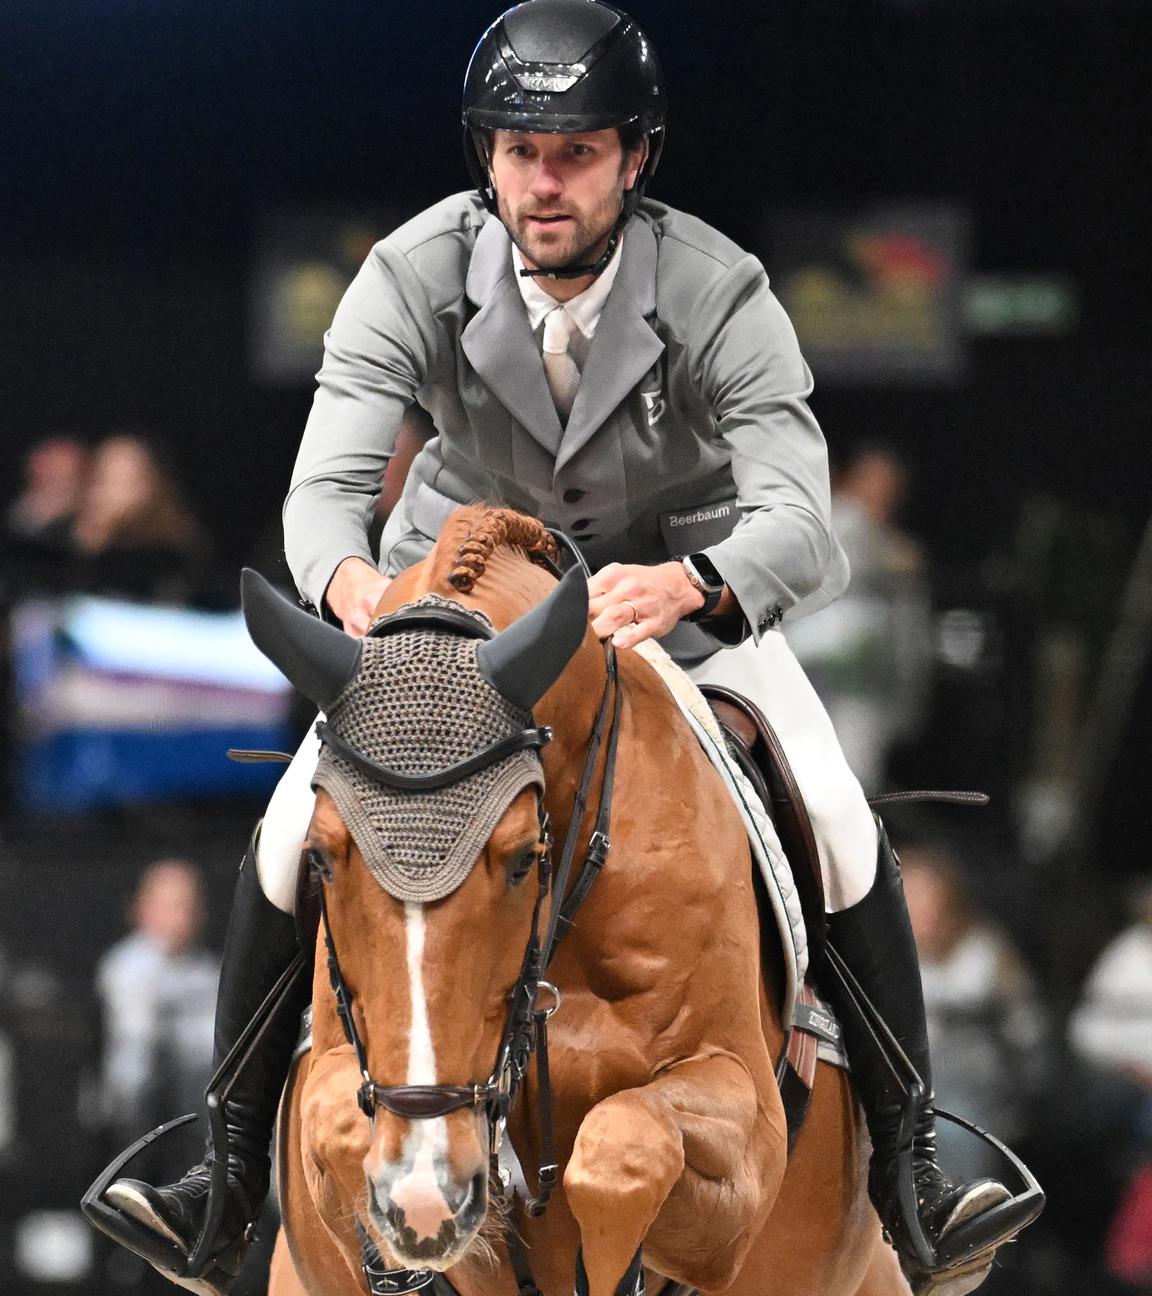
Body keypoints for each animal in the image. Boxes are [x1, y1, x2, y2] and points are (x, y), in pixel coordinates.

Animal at [255, 505, 907, 1296]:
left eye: (521, 860)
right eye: (319, 859)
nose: (424, 1189)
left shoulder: (745, 1128)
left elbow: (623, 1148)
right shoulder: (345, 1077)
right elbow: (346, 1131)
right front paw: (423, 1227)